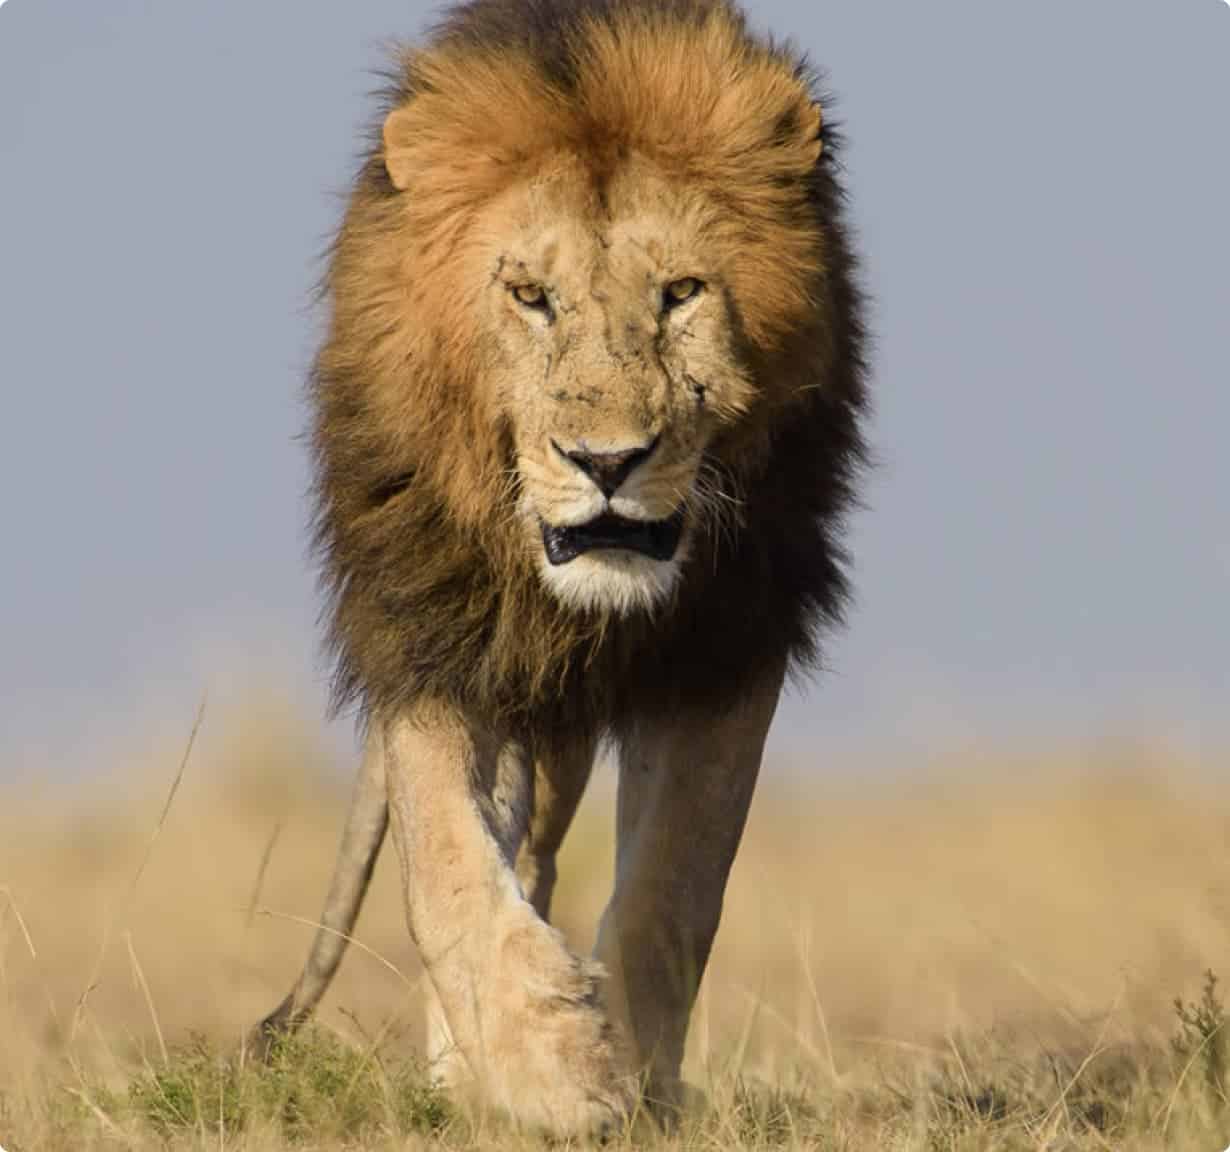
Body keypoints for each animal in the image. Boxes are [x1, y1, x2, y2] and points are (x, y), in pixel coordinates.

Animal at [250, 0, 868, 1136]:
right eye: (532, 296)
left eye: (682, 293)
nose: (608, 463)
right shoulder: (438, 639)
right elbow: (451, 872)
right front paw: (551, 1071)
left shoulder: (727, 650)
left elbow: (673, 889)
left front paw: (634, 1077)